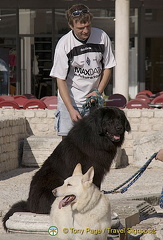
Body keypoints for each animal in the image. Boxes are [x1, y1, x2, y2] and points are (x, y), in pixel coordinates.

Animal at [2, 106, 131, 229]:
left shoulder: (97, 173)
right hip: (54, 180)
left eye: (120, 119)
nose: (119, 128)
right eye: (109, 120)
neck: (96, 138)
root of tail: (29, 204)